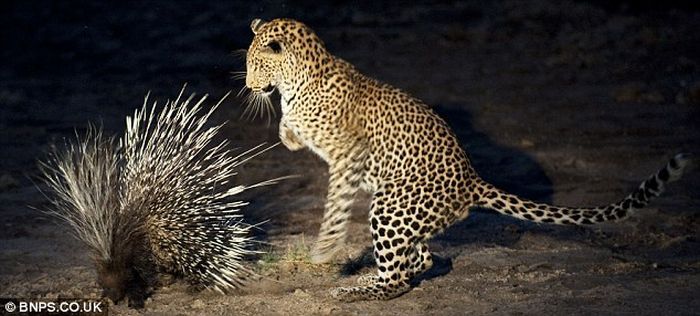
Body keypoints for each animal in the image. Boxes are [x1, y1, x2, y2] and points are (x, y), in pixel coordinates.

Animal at [243, 18, 692, 302]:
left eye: (255, 63)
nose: (247, 84)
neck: (298, 82)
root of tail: (472, 180)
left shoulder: (349, 155)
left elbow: (335, 204)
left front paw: (325, 249)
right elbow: (289, 131)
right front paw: (287, 131)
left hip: (390, 205)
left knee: (399, 278)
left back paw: (355, 291)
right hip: (406, 215)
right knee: (420, 259)